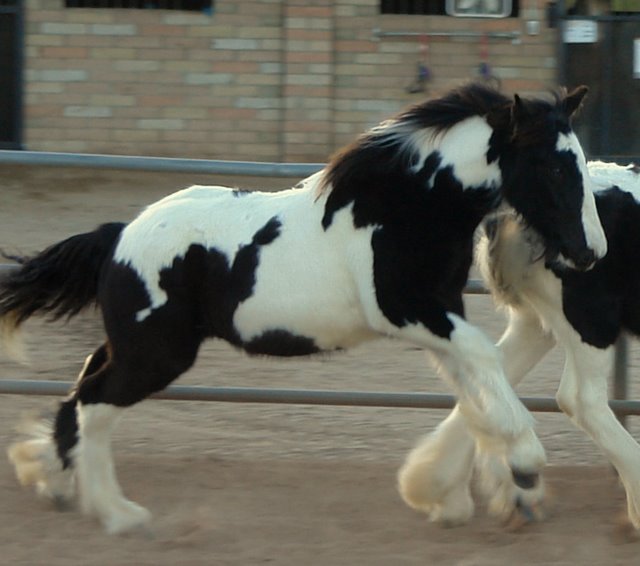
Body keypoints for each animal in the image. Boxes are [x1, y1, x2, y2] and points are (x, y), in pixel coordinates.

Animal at [2, 82, 606, 534]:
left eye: (578, 163)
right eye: (555, 168)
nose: (591, 253)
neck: (405, 207)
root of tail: (118, 237)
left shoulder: (439, 315)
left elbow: (473, 388)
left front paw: (464, 495)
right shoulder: (407, 312)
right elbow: (485, 359)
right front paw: (524, 464)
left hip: (133, 346)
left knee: (82, 384)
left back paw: (52, 477)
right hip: (156, 354)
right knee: (94, 402)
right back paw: (117, 513)